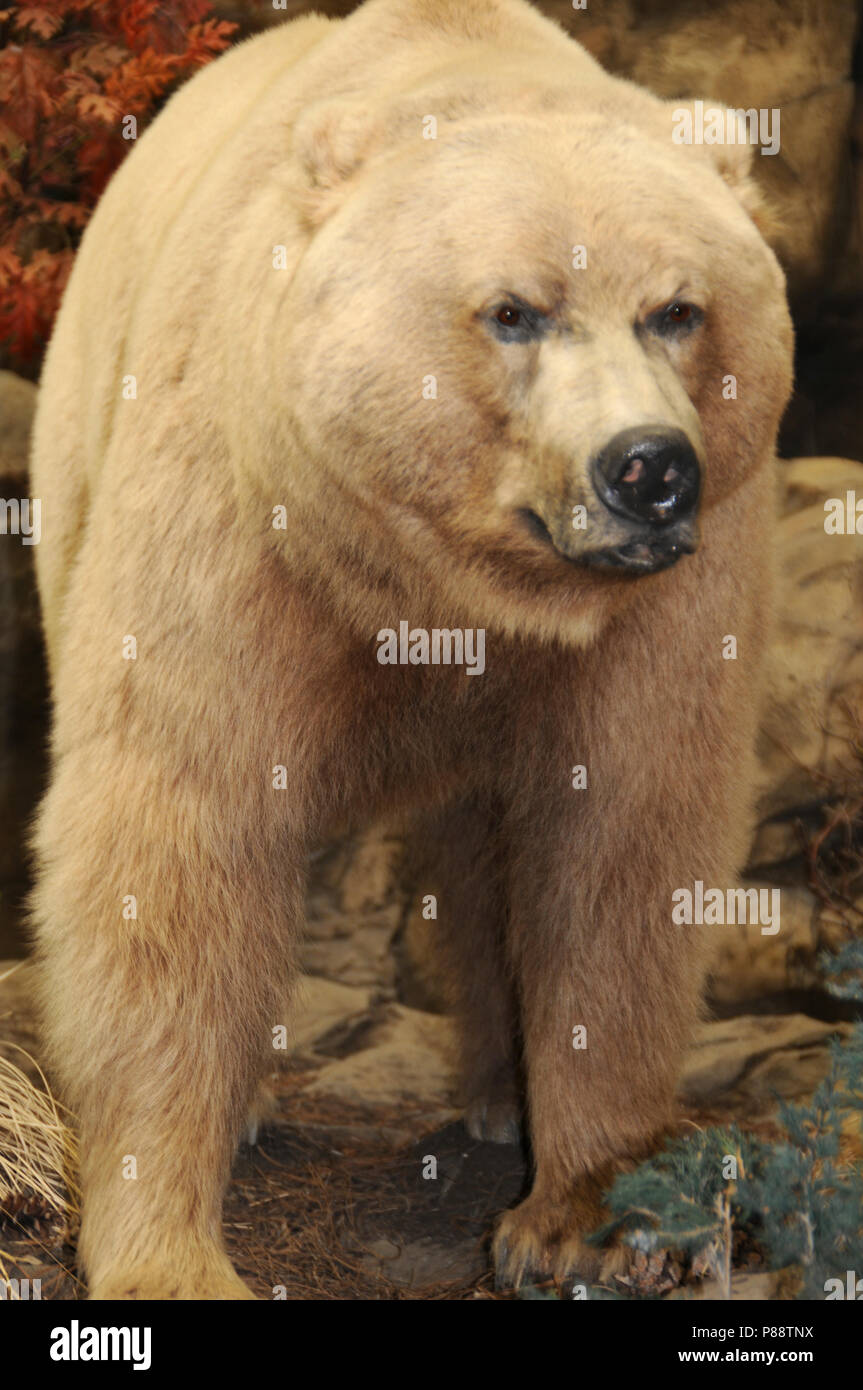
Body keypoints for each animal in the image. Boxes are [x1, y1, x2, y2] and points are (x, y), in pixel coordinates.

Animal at [30, 0, 789, 1295]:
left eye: (677, 309)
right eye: (513, 309)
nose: (644, 466)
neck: (446, 579)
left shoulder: (667, 602)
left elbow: (620, 836)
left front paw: (587, 1221)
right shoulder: (240, 511)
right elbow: (178, 822)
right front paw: (169, 1247)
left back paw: (498, 1093)